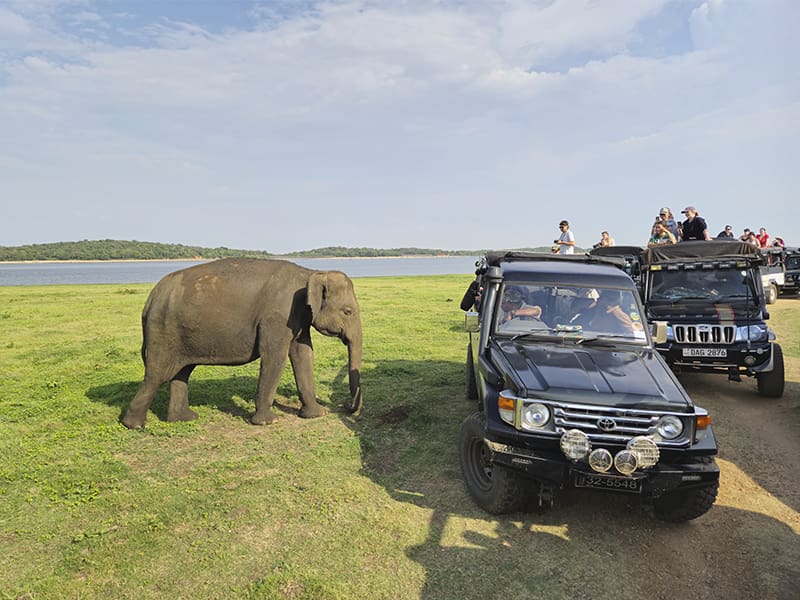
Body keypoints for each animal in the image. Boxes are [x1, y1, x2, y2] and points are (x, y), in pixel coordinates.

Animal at [121, 258, 362, 428]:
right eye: (347, 311)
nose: (346, 406)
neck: (311, 273)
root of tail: (151, 298)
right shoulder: (276, 317)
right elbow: (275, 356)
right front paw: (268, 422)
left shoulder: (298, 318)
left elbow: (303, 353)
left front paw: (316, 414)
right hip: (163, 332)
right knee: (157, 375)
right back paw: (134, 425)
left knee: (182, 372)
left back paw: (184, 418)